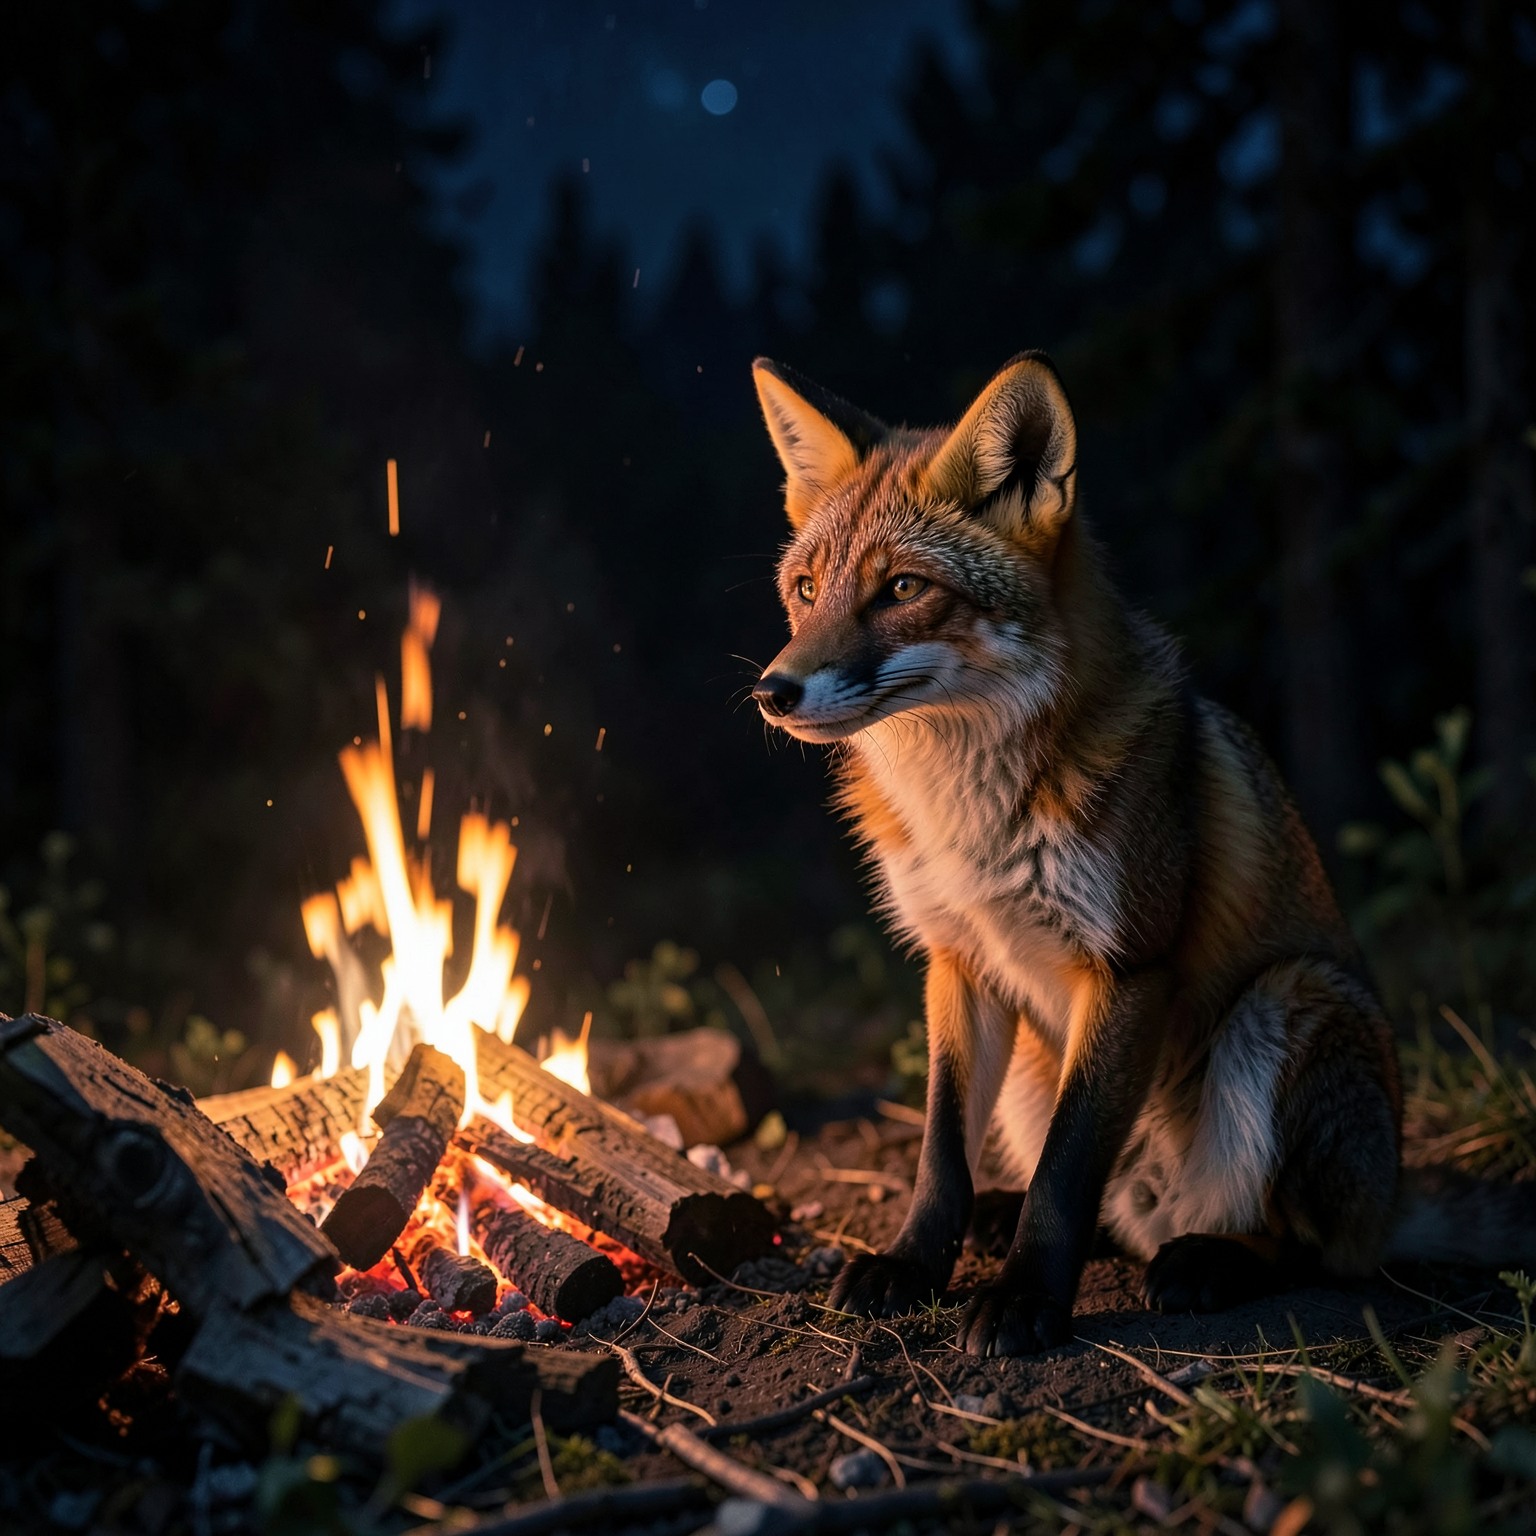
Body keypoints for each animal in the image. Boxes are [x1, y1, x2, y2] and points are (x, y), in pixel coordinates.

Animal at [748, 350, 1536, 1356]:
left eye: (903, 590)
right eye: (808, 590)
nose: (773, 691)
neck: (970, 819)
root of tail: (1390, 1193)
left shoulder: (1128, 964)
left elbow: (1066, 1170)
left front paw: (1025, 1301)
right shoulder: (956, 958)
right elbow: (939, 1155)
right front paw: (915, 1265)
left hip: (1291, 1001)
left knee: (1298, 1244)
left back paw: (1208, 1260)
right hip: (1039, 1069)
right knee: (1114, 1216)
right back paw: (1015, 1222)